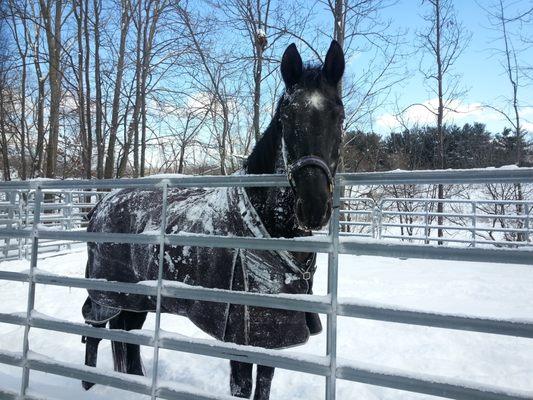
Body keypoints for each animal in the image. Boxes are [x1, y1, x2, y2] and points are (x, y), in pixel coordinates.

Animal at [80, 41, 342, 400]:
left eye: (338, 114)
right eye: (286, 116)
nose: (314, 206)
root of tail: (102, 205)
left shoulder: (272, 337)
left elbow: (264, 385)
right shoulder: (241, 336)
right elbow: (242, 387)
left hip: (136, 301)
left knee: (127, 342)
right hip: (105, 296)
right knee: (94, 333)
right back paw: (88, 386)